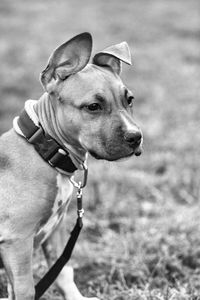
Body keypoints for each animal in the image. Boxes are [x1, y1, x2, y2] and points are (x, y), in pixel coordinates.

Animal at [0, 32, 142, 300]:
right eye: (93, 107)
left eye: (129, 100)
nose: (136, 137)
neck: (44, 148)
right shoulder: (17, 241)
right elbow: (26, 289)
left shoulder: (54, 230)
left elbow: (62, 272)